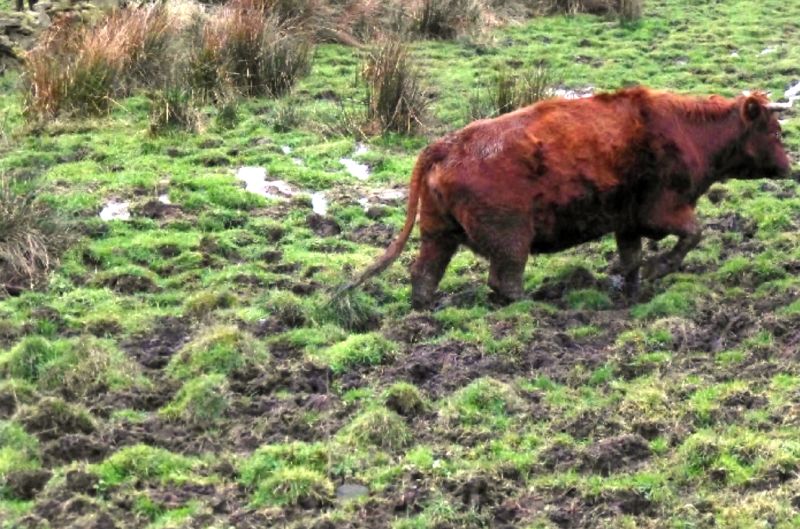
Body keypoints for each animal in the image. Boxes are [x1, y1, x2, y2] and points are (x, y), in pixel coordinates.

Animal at [340, 86, 792, 308]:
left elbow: (633, 259)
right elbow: (694, 234)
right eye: (775, 131)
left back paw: (425, 312)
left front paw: (631, 292)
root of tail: (446, 145)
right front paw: (661, 269)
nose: (790, 167)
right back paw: (534, 308)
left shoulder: (627, 222)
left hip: (438, 234)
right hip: (510, 239)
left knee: (425, 274)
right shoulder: (662, 211)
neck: (688, 130)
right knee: (504, 280)